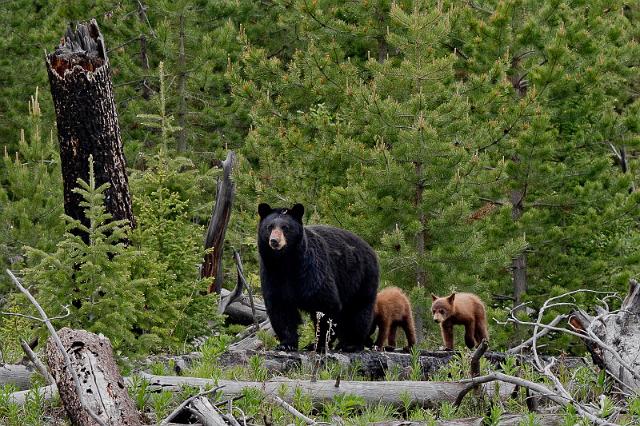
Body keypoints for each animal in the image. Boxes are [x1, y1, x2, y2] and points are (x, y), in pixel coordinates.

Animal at [256, 203, 378, 352]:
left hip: (362, 277)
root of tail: (370, 248)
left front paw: (319, 344)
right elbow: (281, 308)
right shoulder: (272, 275)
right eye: (269, 227)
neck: (286, 262)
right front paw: (286, 344)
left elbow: (325, 305)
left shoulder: (312, 271)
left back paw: (351, 343)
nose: (274, 241)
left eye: (285, 227)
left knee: (359, 310)